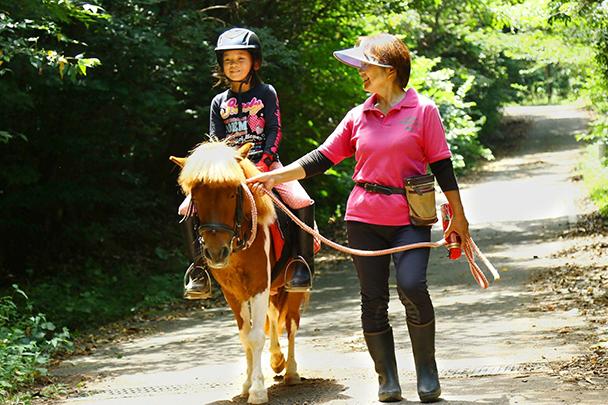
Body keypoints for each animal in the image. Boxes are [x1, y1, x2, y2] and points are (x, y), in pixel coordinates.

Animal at [169, 140, 308, 402]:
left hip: (291, 288)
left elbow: (256, 336)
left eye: (233, 192)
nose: (216, 252)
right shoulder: (233, 292)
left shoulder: (259, 285)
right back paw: (277, 360)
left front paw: (258, 390)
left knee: (291, 324)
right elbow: (245, 336)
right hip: (272, 290)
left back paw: (291, 372)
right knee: (274, 316)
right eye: (196, 197)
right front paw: (246, 384)